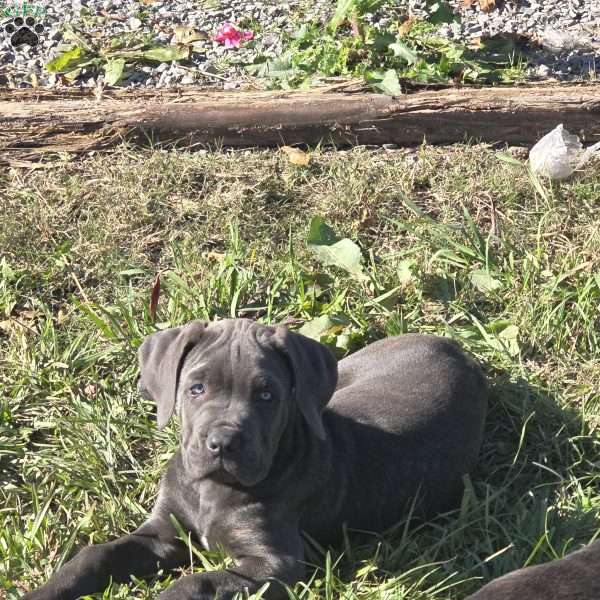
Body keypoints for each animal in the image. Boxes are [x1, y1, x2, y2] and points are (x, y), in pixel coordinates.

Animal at [25, 316, 490, 596]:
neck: (212, 490)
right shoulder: (161, 533)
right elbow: (94, 555)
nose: (222, 443)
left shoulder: (273, 563)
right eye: (196, 388)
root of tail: (459, 350)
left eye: (267, 395)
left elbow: (194, 584)